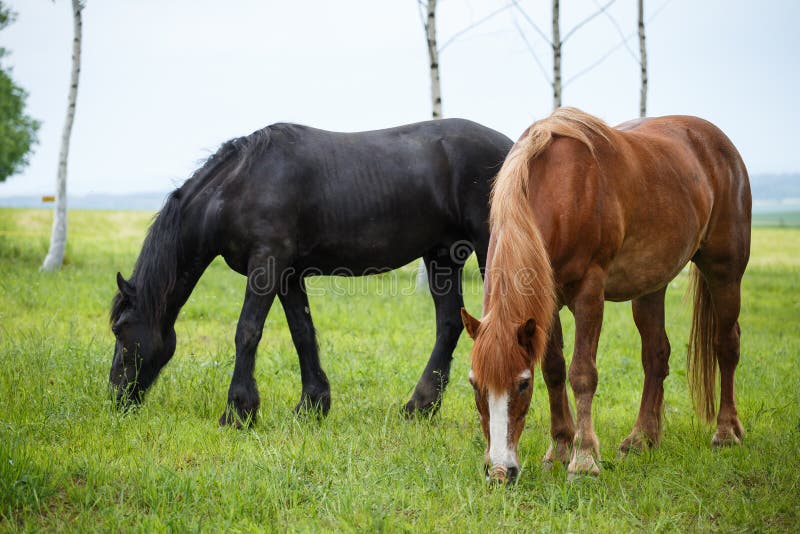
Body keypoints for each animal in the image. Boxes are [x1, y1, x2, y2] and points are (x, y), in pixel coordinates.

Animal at [109, 119, 512, 426]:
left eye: (119, 329)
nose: (115, 396)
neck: (240, 185)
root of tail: (511, 146)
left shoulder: (267, 262)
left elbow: (247, 331)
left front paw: (238, 411)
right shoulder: (288, 273)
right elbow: (301, 332)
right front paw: (312, 406)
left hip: (488, 249)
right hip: (442, 257)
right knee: (449, 323)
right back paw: (419, 406)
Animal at [461, 107, 751, 483]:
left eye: (522, 385)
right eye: (474, 384)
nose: (499, 471)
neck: (561, 191)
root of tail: (717, 143)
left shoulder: (589, 294)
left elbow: (582, 374)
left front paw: (583, 460)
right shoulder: (547, 304)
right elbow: (554, 370)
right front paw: (559, 449)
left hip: (725, 271)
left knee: (726, 345)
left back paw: (726, 432)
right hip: (651, 287)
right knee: (656, 356)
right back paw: (642, 439)